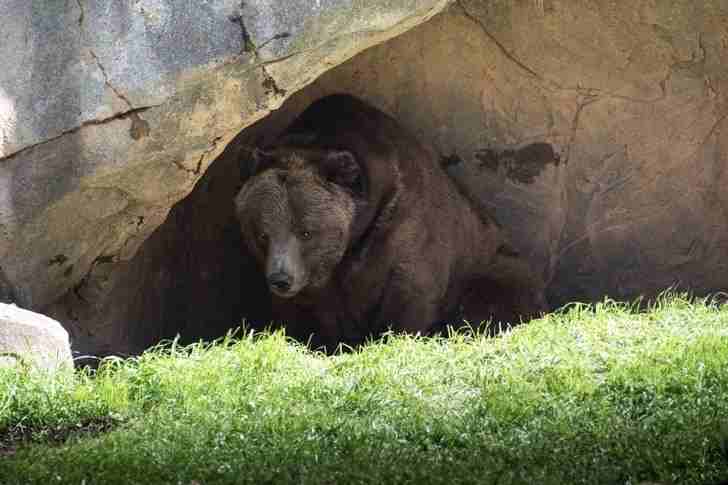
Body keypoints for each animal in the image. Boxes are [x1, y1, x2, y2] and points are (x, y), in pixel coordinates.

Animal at [233, 93, 544, 348]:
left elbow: (410, 291)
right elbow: (303, 314)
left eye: (306, 231)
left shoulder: (404, 226)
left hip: (493, 264)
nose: (280, 279)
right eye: (262, 234)